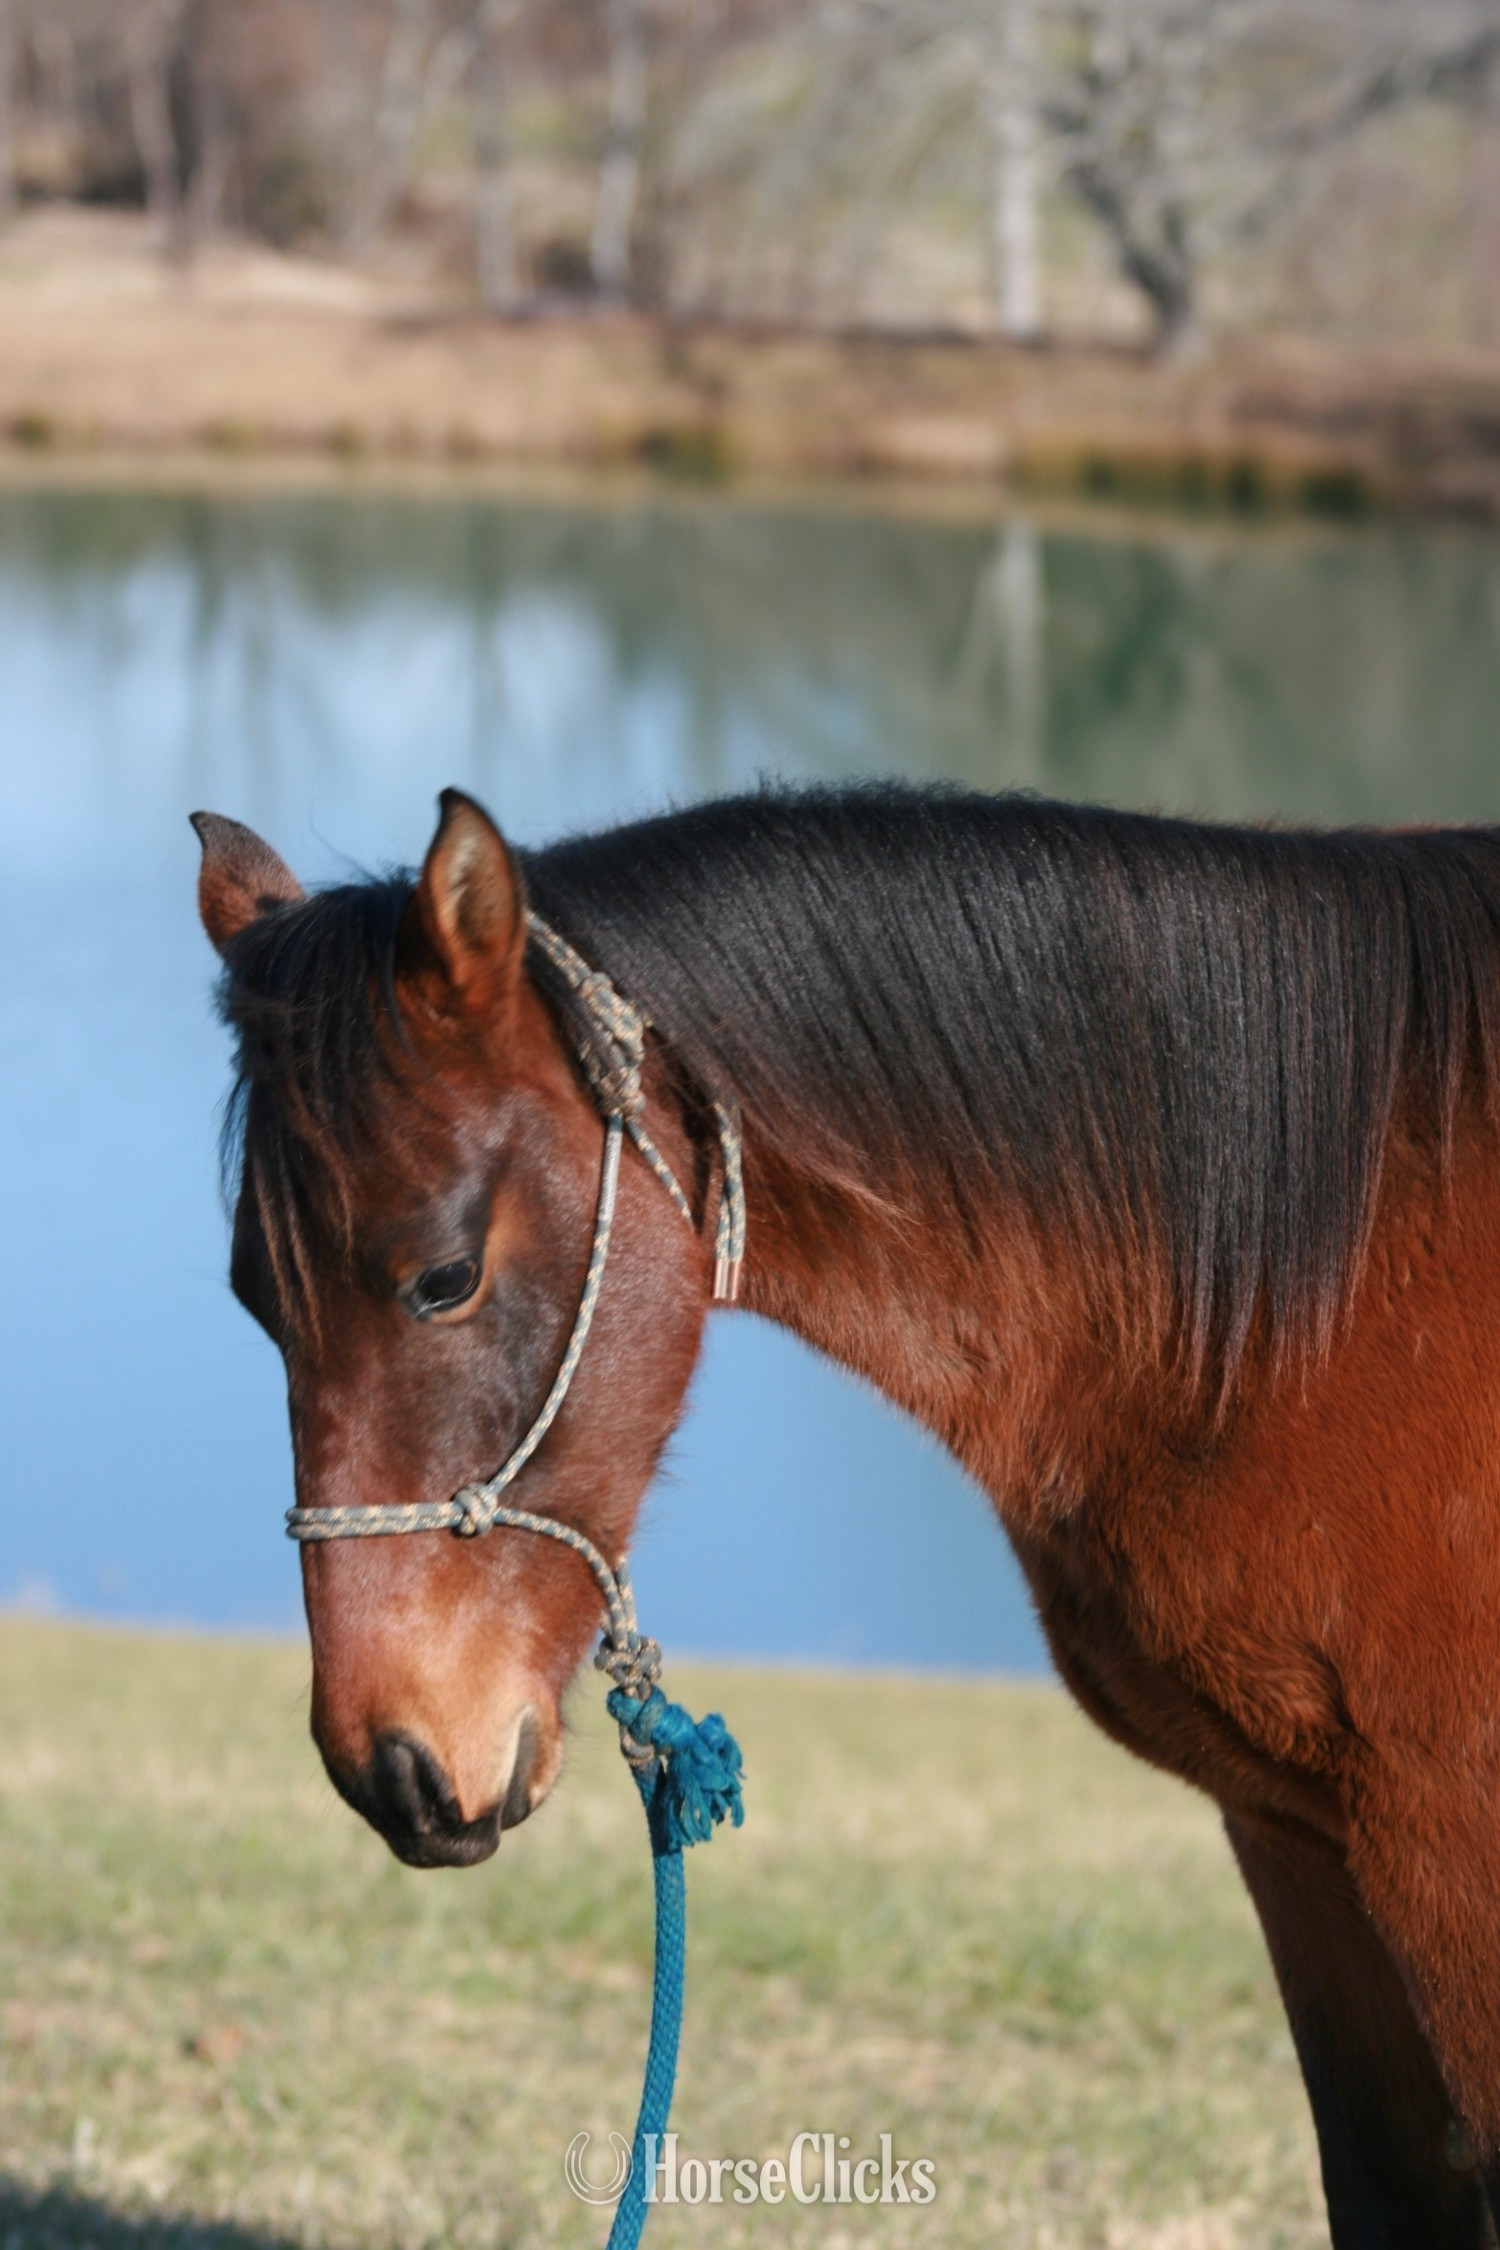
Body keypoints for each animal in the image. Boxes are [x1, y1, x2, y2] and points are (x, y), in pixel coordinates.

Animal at [193, 780, 1500, 2250]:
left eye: (445, 1276)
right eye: (254, 1295)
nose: (395, 1767)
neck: (1307, 1316)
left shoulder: (1444, 1849)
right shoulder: (1296, 1839)